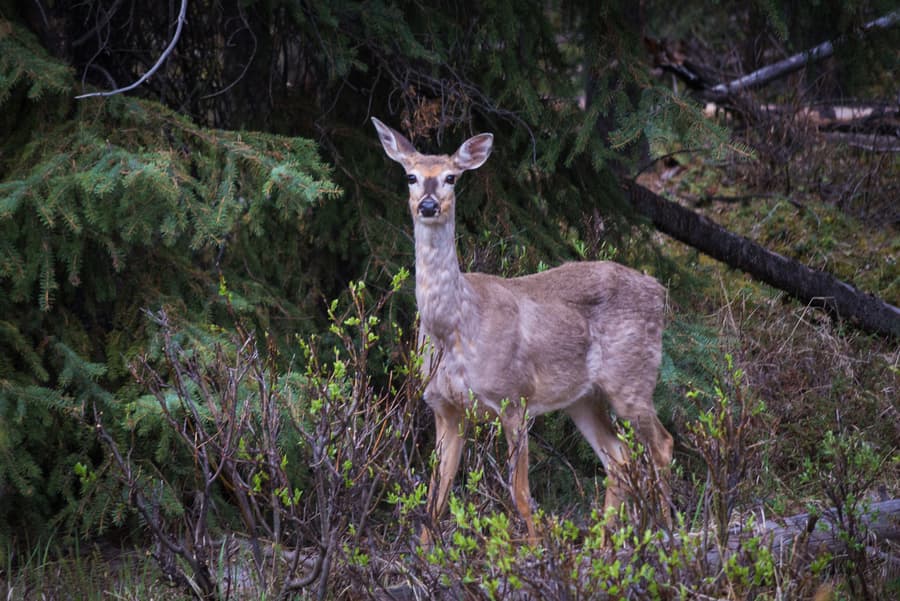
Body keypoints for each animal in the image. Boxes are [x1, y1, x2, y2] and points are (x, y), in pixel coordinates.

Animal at [372, 117, 676, 544]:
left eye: (451, 177)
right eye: (411, 176)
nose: (428, 205)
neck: (453, 329)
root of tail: (659, 291)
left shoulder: (513, 396)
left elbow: (520, 494)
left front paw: (533, 551)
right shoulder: (444, 407)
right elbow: (436, 495)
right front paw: (425, 555)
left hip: (632, 377)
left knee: (661, 445)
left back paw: (668, 532)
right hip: (583, 398)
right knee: (619, 457)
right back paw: (603, 546)